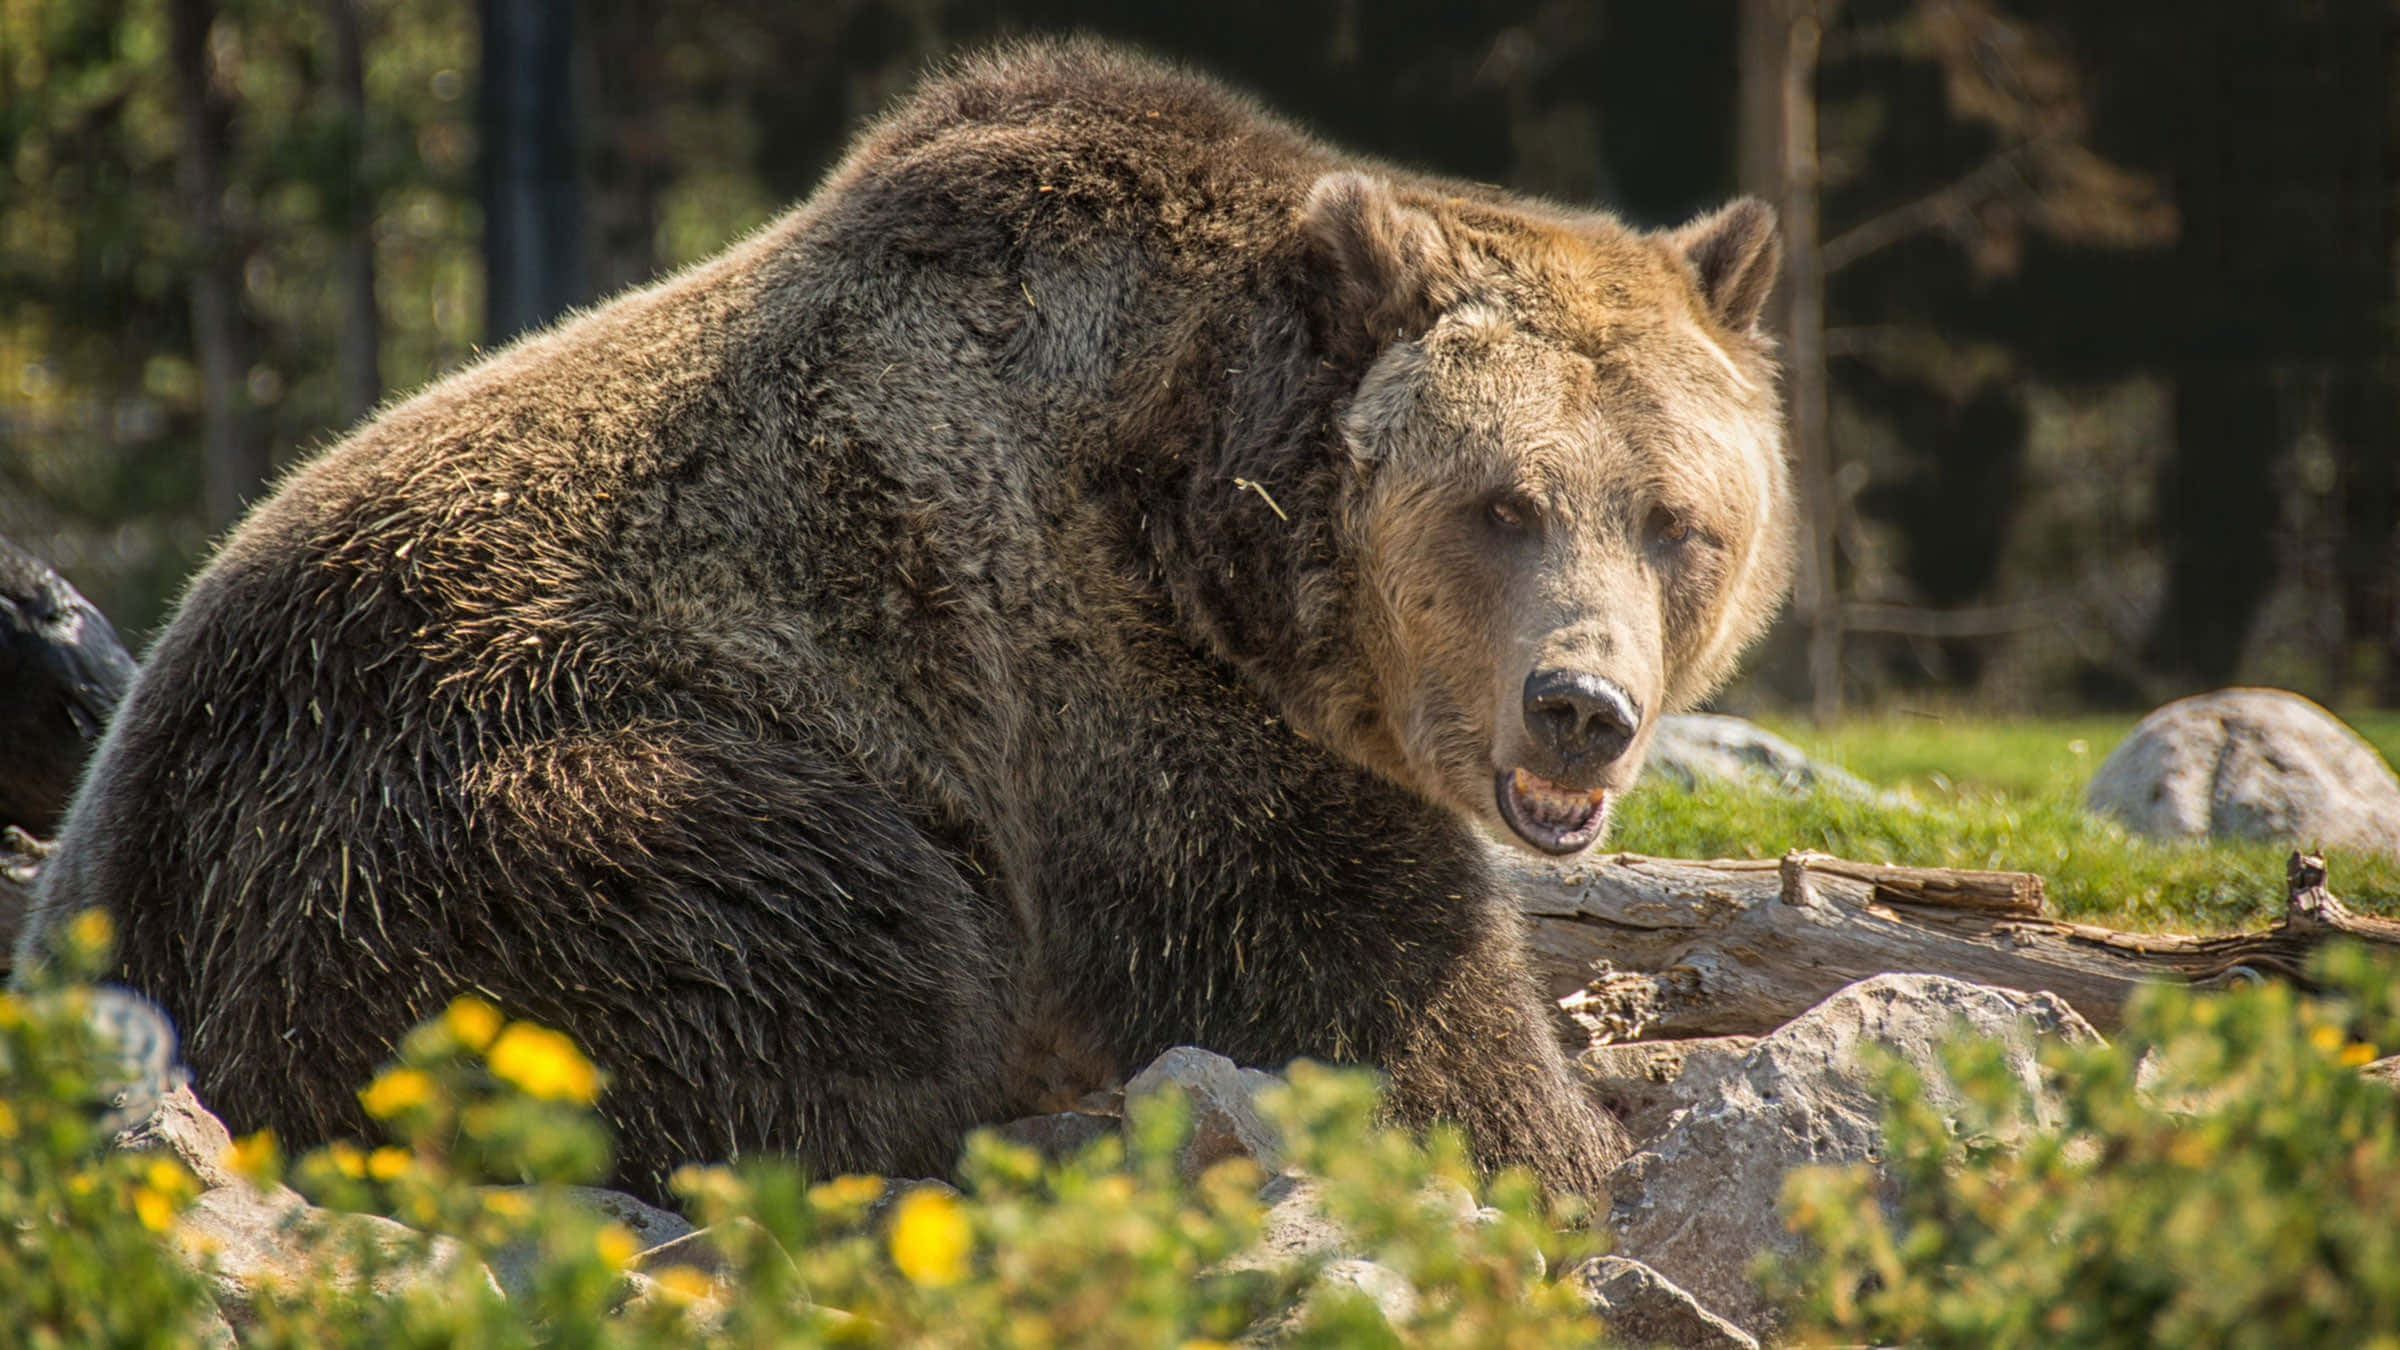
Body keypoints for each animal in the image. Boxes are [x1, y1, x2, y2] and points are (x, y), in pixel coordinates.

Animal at [26, 40, 1791, 1201]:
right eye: (1500, 502)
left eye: (1678, 521)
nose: (1581, 706)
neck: (1217, 514)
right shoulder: (1109, 687)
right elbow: (1359, 983)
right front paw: (1561, 1140)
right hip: (472, 815)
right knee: (842, 939)